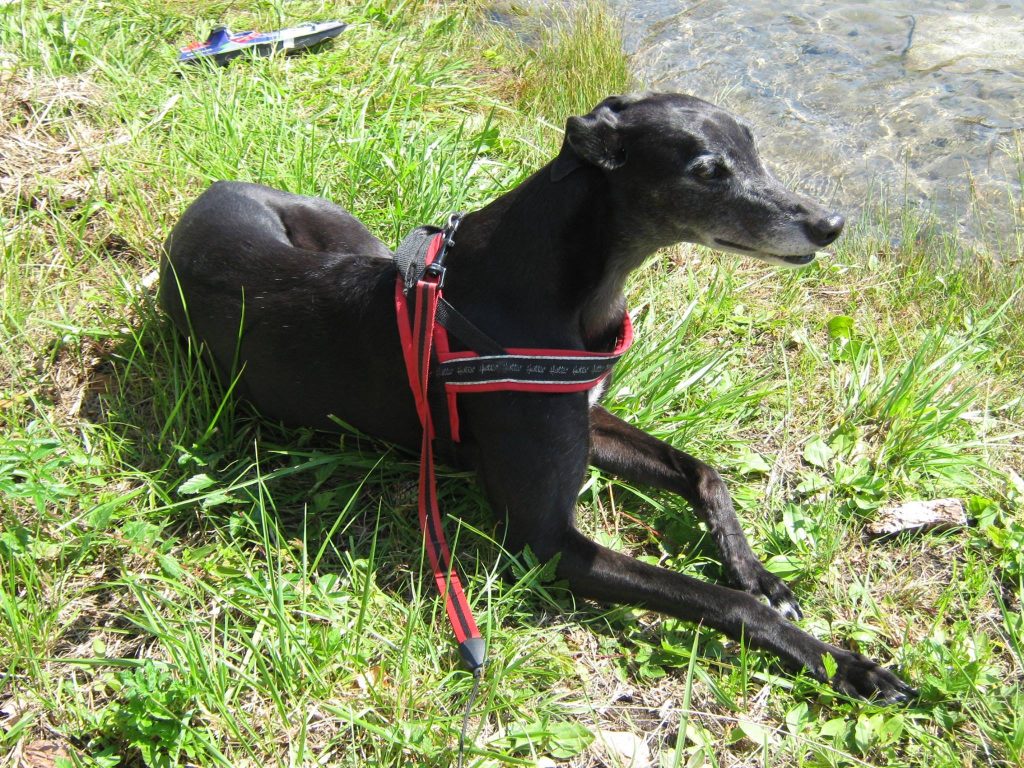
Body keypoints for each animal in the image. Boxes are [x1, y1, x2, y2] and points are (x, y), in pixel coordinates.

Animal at [163, 91, 917, 704]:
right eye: (706, 170)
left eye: (754, 146)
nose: (831, 224)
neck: (568, 285)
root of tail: (209, 194)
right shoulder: (546, 540)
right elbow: (724, 604)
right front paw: (845, 665)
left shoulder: (588, 414)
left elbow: (704, 473)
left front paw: (758, 573)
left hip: (366, 238)